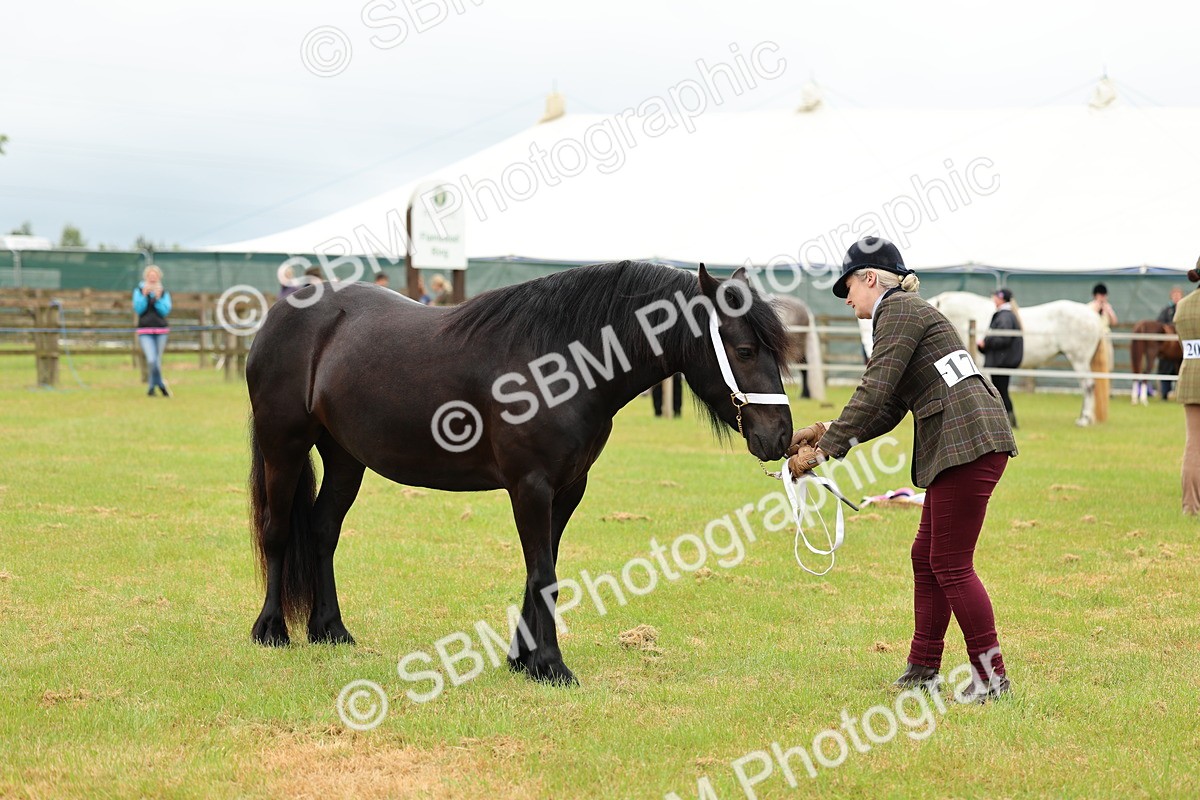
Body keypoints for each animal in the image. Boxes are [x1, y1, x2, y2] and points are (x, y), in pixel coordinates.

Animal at [246, 261, 793, 685]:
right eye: (745, 350)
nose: (781, 436)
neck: (559, 364)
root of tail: (284, 311)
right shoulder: (530, 486)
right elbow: (544, 573)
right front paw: (552, 666)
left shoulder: (568, 489)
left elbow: (541, 570)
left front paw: (522, 660)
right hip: (284, 446)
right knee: (277, 532)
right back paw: (271, 631)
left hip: (344, 457)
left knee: (322, 530)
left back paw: (330, 630)